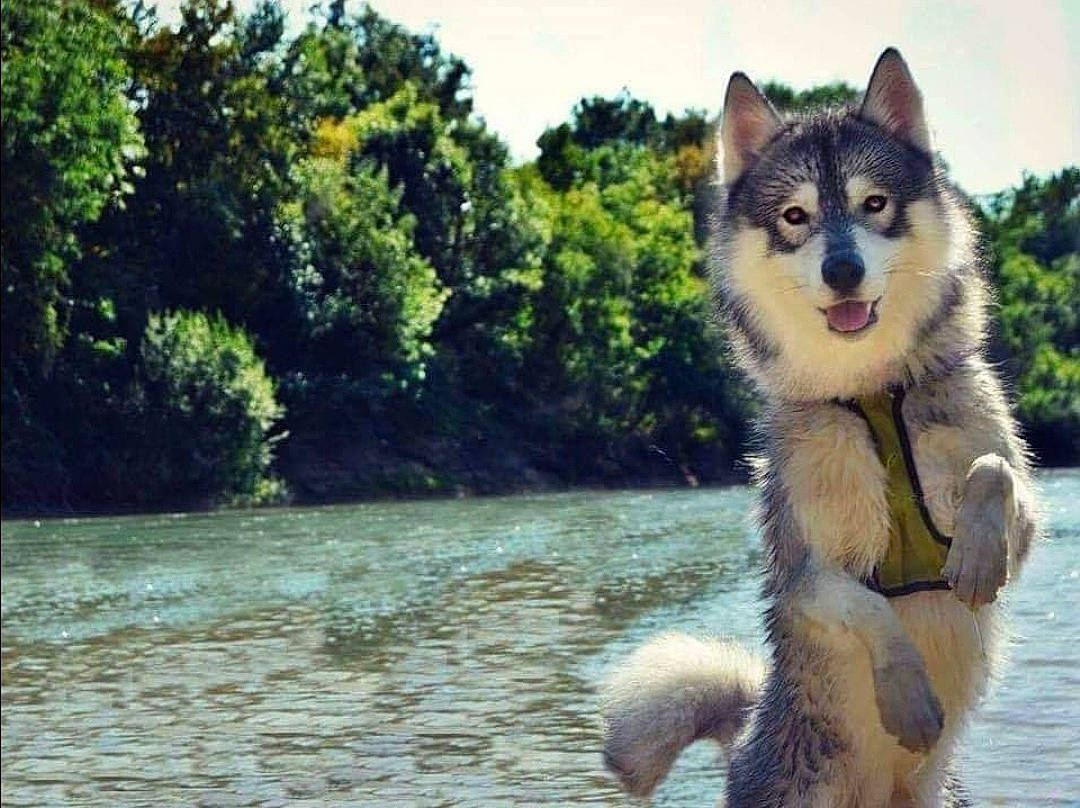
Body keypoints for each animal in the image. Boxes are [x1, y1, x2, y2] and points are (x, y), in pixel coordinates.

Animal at [601, 49, 1040, 807]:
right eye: (795, 216)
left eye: (875, 203)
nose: (843, 270)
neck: (869, 391)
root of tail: (745, 732)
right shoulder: (801, 573)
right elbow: (866, 606)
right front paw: (908, 699)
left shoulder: (1027, 519)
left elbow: (994, 474)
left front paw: (976, 557)